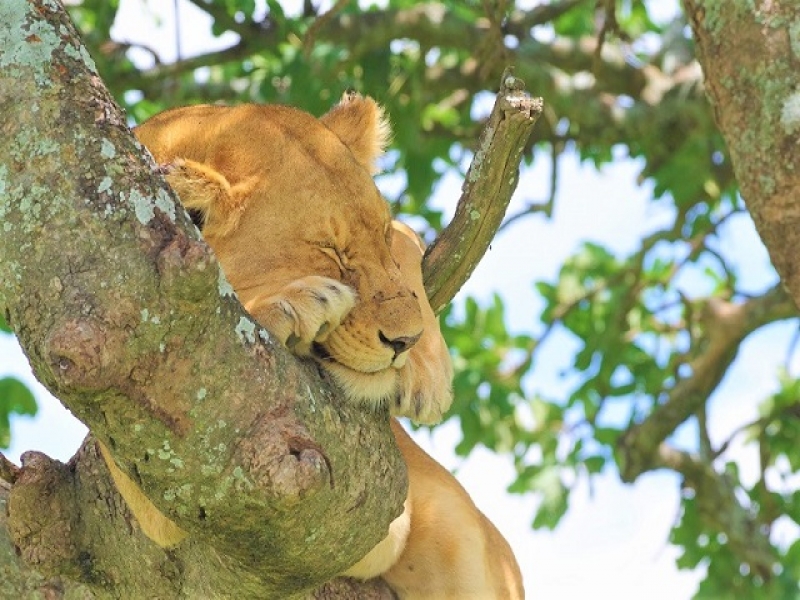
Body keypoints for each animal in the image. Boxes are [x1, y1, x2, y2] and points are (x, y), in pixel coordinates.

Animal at [98, 91, 524, 596]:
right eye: (330, 252)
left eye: (379, 235)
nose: (405, 340)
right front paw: (296, 302)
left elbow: (408, 248)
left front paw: (424, 374)